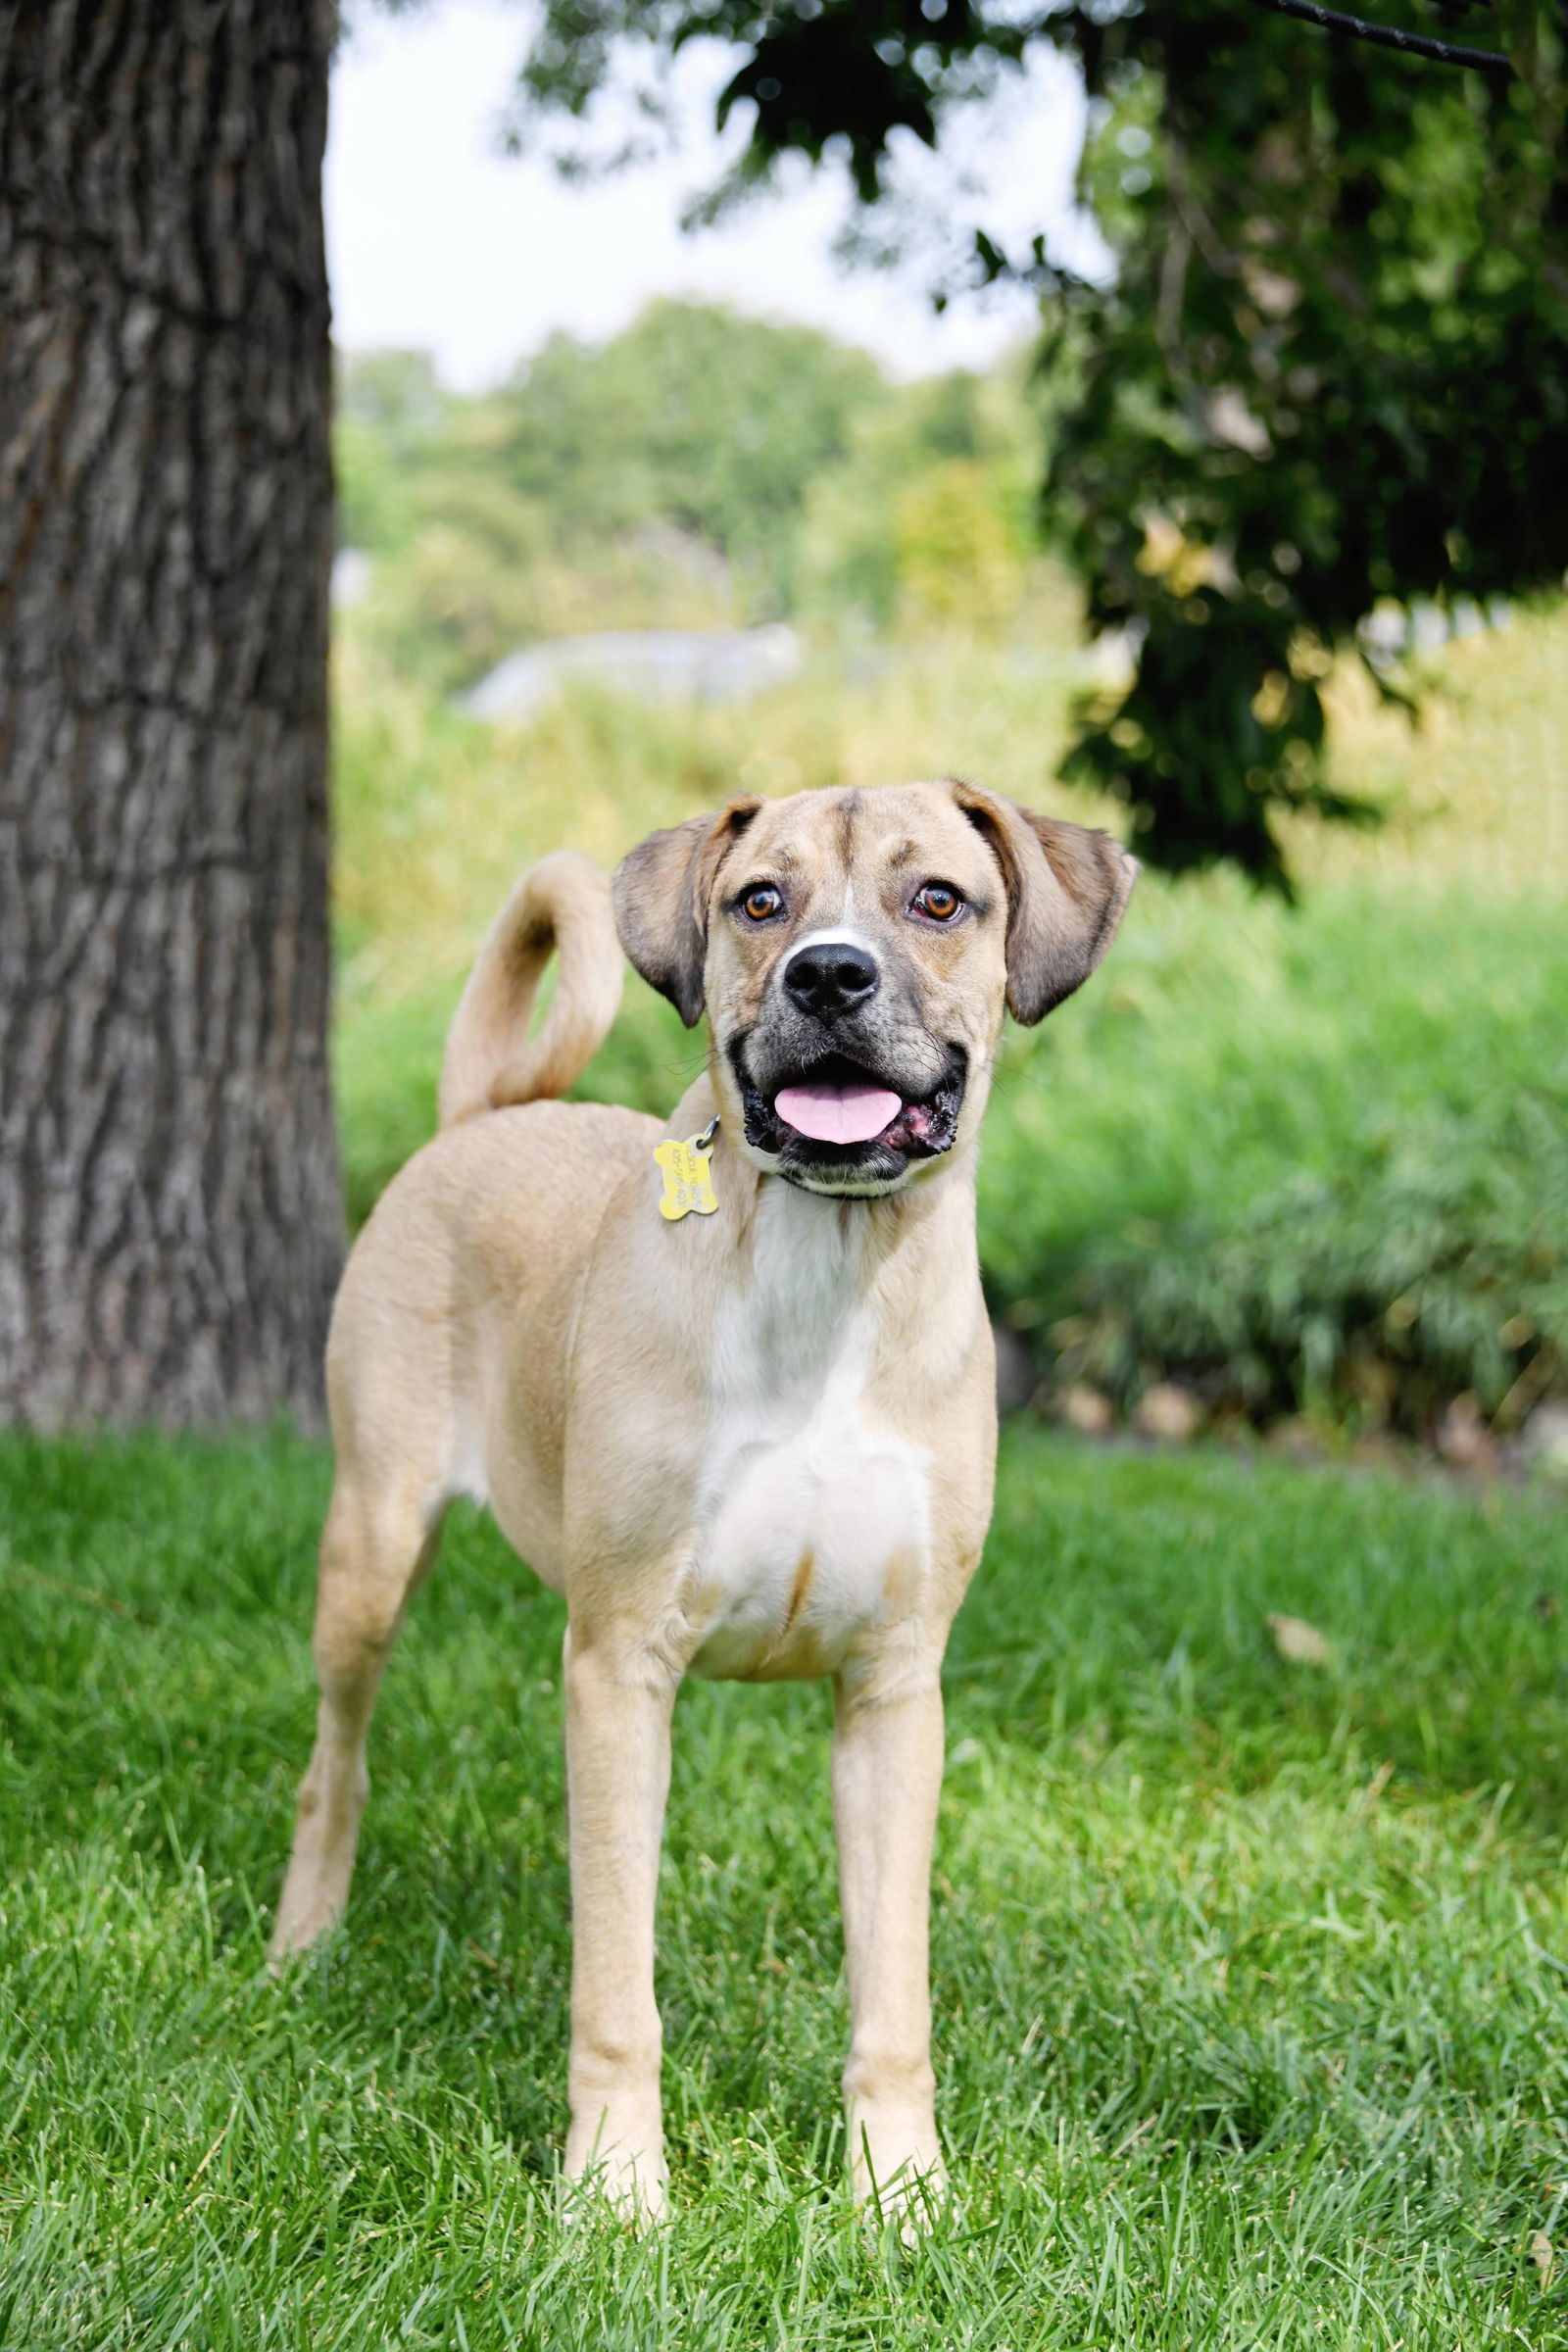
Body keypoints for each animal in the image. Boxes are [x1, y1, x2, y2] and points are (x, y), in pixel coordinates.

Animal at [267, 780, 1128, 2211]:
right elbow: (618, 1985)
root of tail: (478, 1116)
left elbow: (893, 1992)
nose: (827, 975)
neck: (827, 1271)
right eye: (759, 900)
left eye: (938, 900)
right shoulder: (618, 1670)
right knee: (334, 1763)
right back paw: (302, 1942)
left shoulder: (896, 1692)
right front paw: (616, 2194)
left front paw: (900, 2198)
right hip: (369, 1548)